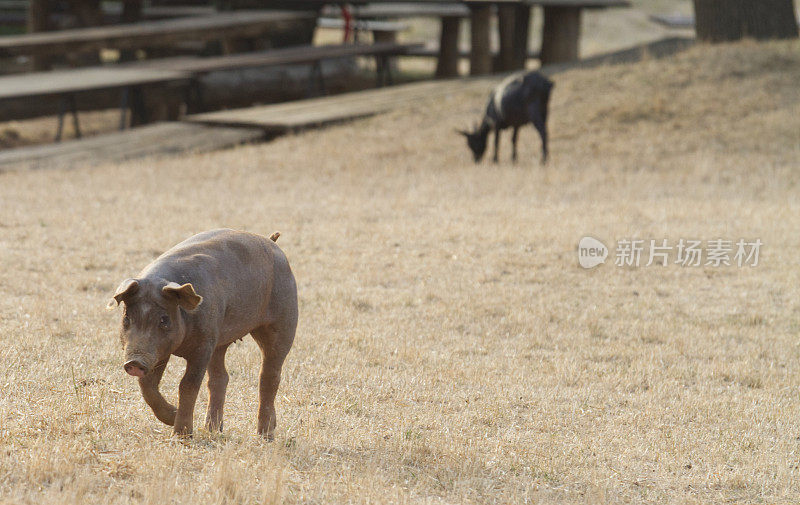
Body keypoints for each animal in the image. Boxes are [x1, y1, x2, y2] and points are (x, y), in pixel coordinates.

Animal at [108, 228, 298, 438]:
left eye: (164, 319)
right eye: (127, 317)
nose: (134, 362)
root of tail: (272, 242)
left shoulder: (203, 345)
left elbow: (188, 384)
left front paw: (181, 435)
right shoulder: (161, 350)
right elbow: (147, 385)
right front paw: (173, 416)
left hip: (283, 321)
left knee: (269, 377)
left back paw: (264, 436)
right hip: (219, 340)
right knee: (220, 378)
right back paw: (213, 429)